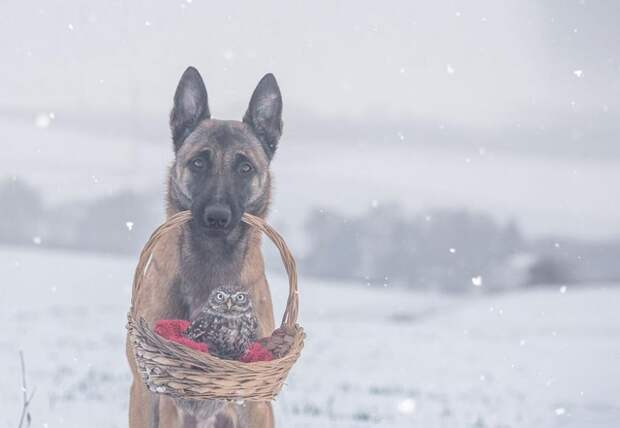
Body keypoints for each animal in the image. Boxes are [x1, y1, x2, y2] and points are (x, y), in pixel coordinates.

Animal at [128, 67, 284, 428]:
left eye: (245, 167)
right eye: (198, 163)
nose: (216, 217)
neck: (211, 258)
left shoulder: (255, 403)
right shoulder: (153, 394)